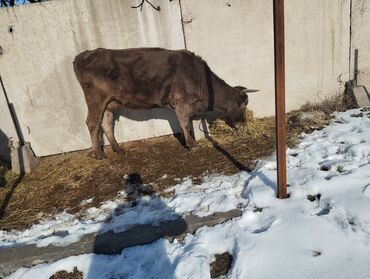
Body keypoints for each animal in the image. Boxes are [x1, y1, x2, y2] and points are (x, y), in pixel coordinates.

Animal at [73, 48, 254, 160]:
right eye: (244, 105)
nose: (244, 124)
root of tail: (84, 54)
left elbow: (185, 122)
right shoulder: (180, 101)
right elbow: (184, 123)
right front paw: (191, 144)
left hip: (110, 102)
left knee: (106, 123)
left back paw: (118, 149)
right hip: (96, 98)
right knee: (92, 123)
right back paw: (99, 154)